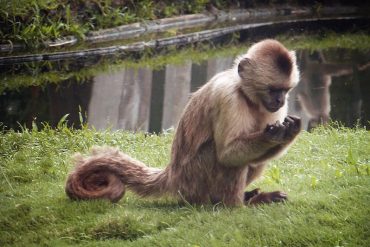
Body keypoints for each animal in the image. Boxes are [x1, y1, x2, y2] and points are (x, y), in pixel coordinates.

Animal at [66, 39, 302, 206]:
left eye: (285, 90)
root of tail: (173, 175)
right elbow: (228, 154)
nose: (280, 100)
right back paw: (234, 205)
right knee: (223, 157)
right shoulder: (227, 96)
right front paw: (273, 135)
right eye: (272, 90)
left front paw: (289, 132)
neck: (245, 95)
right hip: (192, 182)